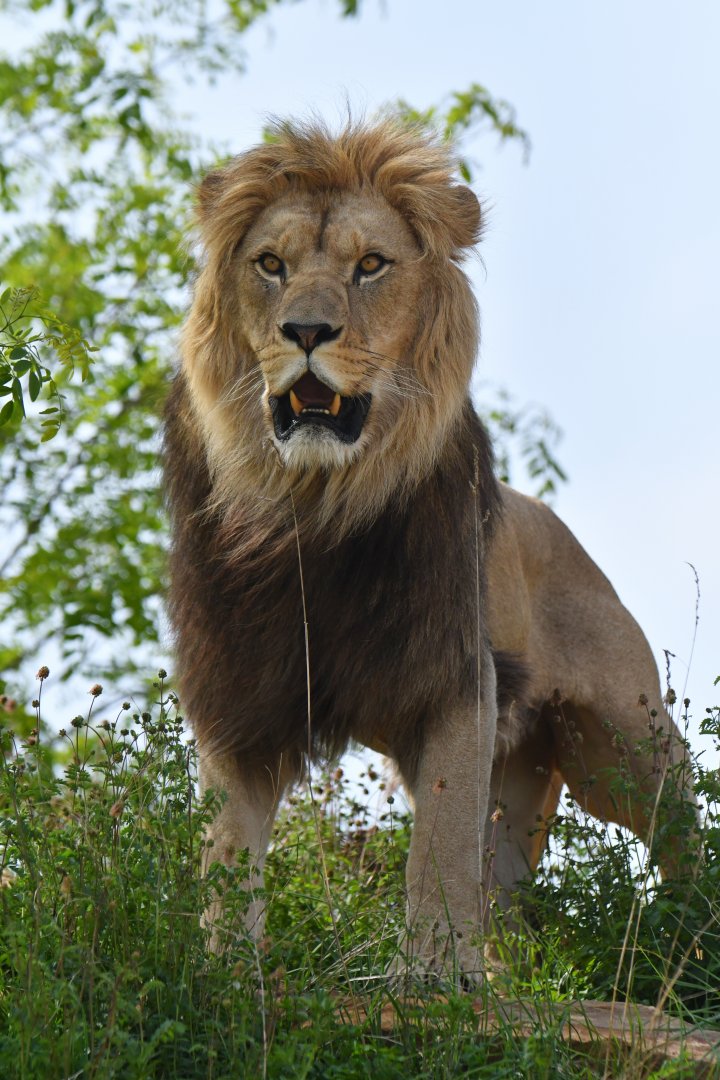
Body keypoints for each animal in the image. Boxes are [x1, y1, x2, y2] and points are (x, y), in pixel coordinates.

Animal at [164, 119, 693, 980]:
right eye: (270, 265)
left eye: (371, 265)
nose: (305, 332)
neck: (315, 502)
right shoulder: (243, 684)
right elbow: (228, 848)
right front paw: (224, 973)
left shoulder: (454, 676)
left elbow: (439, 848)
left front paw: (436, 978)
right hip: (526, 772)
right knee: (506, 893)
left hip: (626, 743)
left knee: (682, 829)